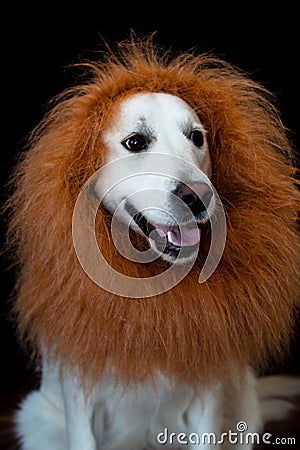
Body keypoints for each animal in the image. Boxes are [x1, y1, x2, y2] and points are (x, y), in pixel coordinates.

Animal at [8, 38, 300, 450]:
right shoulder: (79, 392)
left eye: (197, 137)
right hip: (37, 417)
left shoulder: (208, 391)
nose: (199, 197)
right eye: (135, 142)